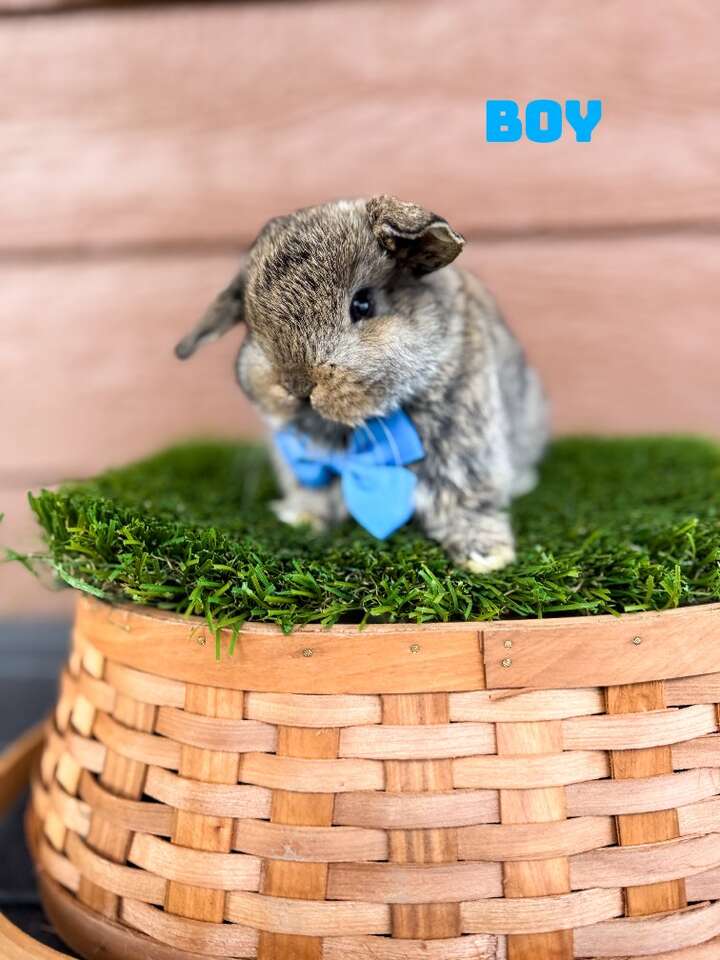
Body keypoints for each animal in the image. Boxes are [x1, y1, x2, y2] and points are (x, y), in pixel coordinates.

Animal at [177, 195, 548, 568]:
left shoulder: (463, 450)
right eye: (251, 325)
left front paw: (486, 556)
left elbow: (463, 500)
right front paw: (302, 518)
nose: (297, 386)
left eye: (363, 304)